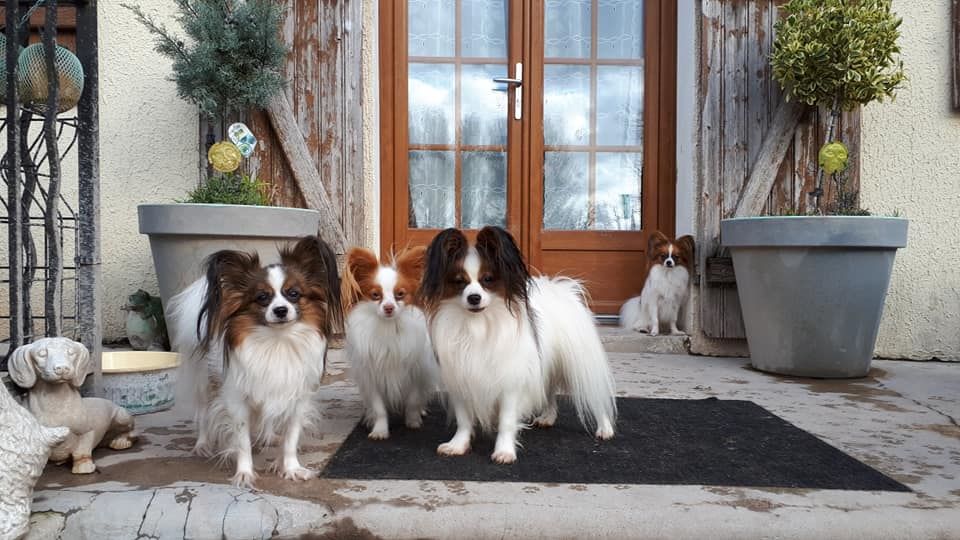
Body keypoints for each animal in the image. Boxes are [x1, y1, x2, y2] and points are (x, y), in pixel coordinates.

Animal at [167, 234, 344, 488]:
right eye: (262, 297)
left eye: (293, 293)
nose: (280, 310)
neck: (277, 342)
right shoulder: (236, 398)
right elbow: (241, 440)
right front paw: (244, 473)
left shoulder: (295, 397)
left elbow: (291, 437)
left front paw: (290, 468)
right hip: (204, 381)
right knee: (203, 412)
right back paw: (202, 444)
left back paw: (269, 436)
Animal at [342, 245, 438, 438]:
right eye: (375, 295)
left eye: (400, 294)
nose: (388, 307)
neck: (388, 327)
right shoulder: (371, 376)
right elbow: (378, 407)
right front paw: (379, 430)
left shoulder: (416, 371)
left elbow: (413, 400)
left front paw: (413, 422)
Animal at [424, 226, 620, 462]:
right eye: (459, 281)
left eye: (487, 279)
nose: (474, 298)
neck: (477, 325)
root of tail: (560, 289)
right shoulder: (461, 378)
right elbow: (463, 420)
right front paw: (458, 445)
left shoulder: (510, 382)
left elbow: (506, 421)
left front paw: (504, 451)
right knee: (549, 390)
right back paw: (547, 417)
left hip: (579, 364)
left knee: (595, 396)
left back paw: (605, 428)